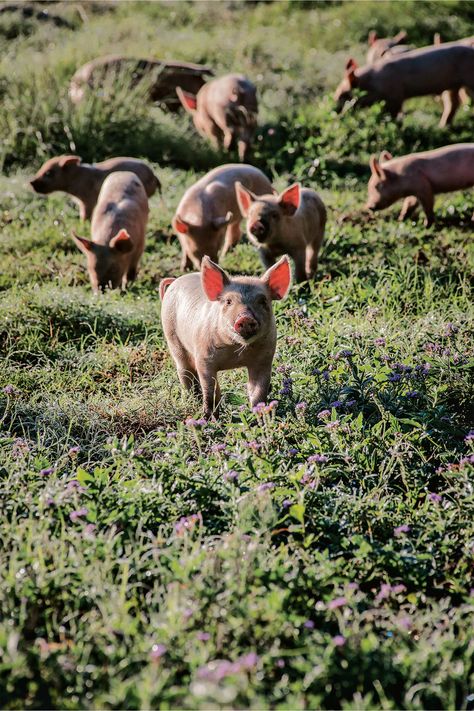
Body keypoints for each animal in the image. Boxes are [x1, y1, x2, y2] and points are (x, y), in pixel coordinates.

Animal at [31, 155, 161, 220]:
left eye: (48, 173)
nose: (31, 182)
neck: (77, 177)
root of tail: (154, 176)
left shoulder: (87, 200)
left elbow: (85, 215)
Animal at [161, 254, 290, 418]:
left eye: (263, 301)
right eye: (228, 301)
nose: (245, 318)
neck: (236, 353)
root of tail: (175, 281)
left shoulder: (264, 359)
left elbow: (258, 392)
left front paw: (261, 417)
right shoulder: (204, 358)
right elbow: (210, 391)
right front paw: (209, 418)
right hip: (172, 338)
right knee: (185, 372)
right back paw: (192, 399)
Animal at [334, 43, 474, 127]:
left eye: (344, 94)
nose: (336, 113)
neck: (372, 83)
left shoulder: (395, 96)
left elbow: (392, 115)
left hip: (468, 78)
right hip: (452, 85)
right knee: (453, 103)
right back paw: (442, 126)